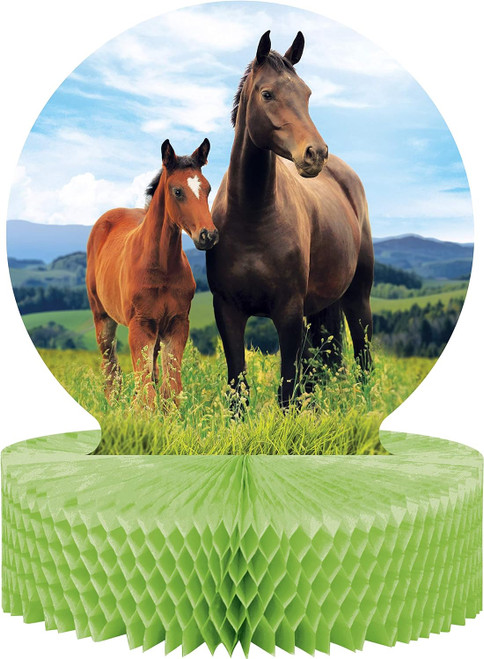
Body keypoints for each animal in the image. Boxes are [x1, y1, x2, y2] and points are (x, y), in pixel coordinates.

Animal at [86, 138, 218, 407]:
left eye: (208, 189)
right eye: (177, 191)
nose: (208, 235)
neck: (162, 267)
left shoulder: (177, 324)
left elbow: (171, 390)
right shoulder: (140, 325)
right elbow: (147, 393)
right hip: (102, 316)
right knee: (110, 369)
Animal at [206, 31, 374, 409]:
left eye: (307, 93)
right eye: (267, 94)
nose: (315, 153)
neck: (253, 217)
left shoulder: (288, 312)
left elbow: (287, 392)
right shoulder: (227, 311)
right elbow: (239, 392)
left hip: (358, 298)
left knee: (363, 361)